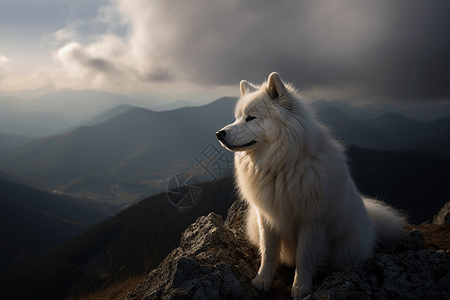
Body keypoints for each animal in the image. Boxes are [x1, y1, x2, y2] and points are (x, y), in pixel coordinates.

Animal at [215, 72, 408, 298]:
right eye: (237, 118)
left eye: (251, 118)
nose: (219, 134)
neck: (281, 166)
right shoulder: (267, 216)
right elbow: (268, 251)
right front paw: (262, 280)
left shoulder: (312, 221)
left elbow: (304, 258)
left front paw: (301, 288)